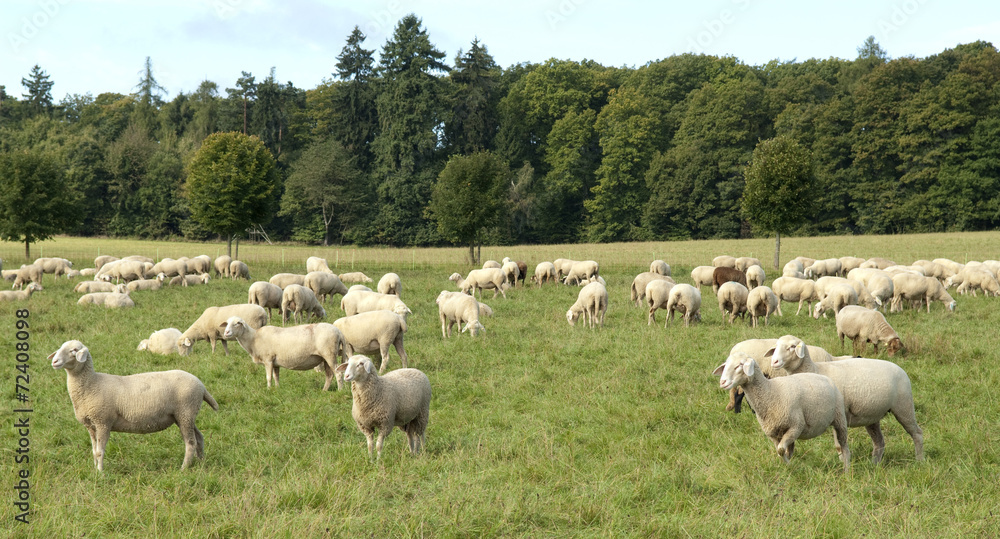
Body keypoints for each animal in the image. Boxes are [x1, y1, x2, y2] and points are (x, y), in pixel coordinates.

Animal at [48, 340, 218, 471]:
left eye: (74, 350)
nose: (54, 362)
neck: (91, 385)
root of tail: (201, 385)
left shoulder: (103, 422)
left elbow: (100, 451)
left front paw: (101, 473)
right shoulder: (91, 425)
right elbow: (94, 450)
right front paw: (95, 469)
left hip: (185, 412)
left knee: (190, 443)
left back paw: (183, 468)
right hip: (184, 416)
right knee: (199, 438)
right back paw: (201, 462)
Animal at [713, 352, 850, 472]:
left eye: (739, 366)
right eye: (725, 366)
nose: (722, 382)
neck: (771, 392)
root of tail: (825, 377)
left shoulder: (796, 426)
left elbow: (780, 450)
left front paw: (789, 464)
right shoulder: (773, 434)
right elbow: (780, 451)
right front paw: (788, 466)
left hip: (839, 418)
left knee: (844, 446)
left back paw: (847, 469)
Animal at [767, 335, 923, 464]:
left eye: (792, 347)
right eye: (776, 347)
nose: (774, 362)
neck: (815, 370)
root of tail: (901, 369)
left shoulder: (839, 415)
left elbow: (839, 446)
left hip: (904, 406)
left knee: (917, 433)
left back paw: (919, 461)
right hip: (873, 416)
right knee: (879, 442)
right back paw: (874, 465)